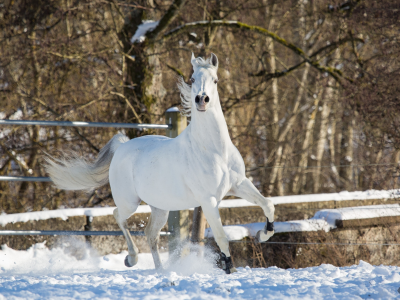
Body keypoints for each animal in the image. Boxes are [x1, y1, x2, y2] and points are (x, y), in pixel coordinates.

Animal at [44, 53, 276, 274]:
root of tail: (122, 147)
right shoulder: (208, 200)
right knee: (119, 216)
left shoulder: (239, 184)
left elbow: (268, 204)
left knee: (150, 233)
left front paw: (263, 234)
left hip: (160, 207)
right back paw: (132, 259)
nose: (202, 100)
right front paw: (230, 268)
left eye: (216, 80)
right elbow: (221, 236)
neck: (215, 150)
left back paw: (161, 270)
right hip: (130, 202)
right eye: (193, 79)